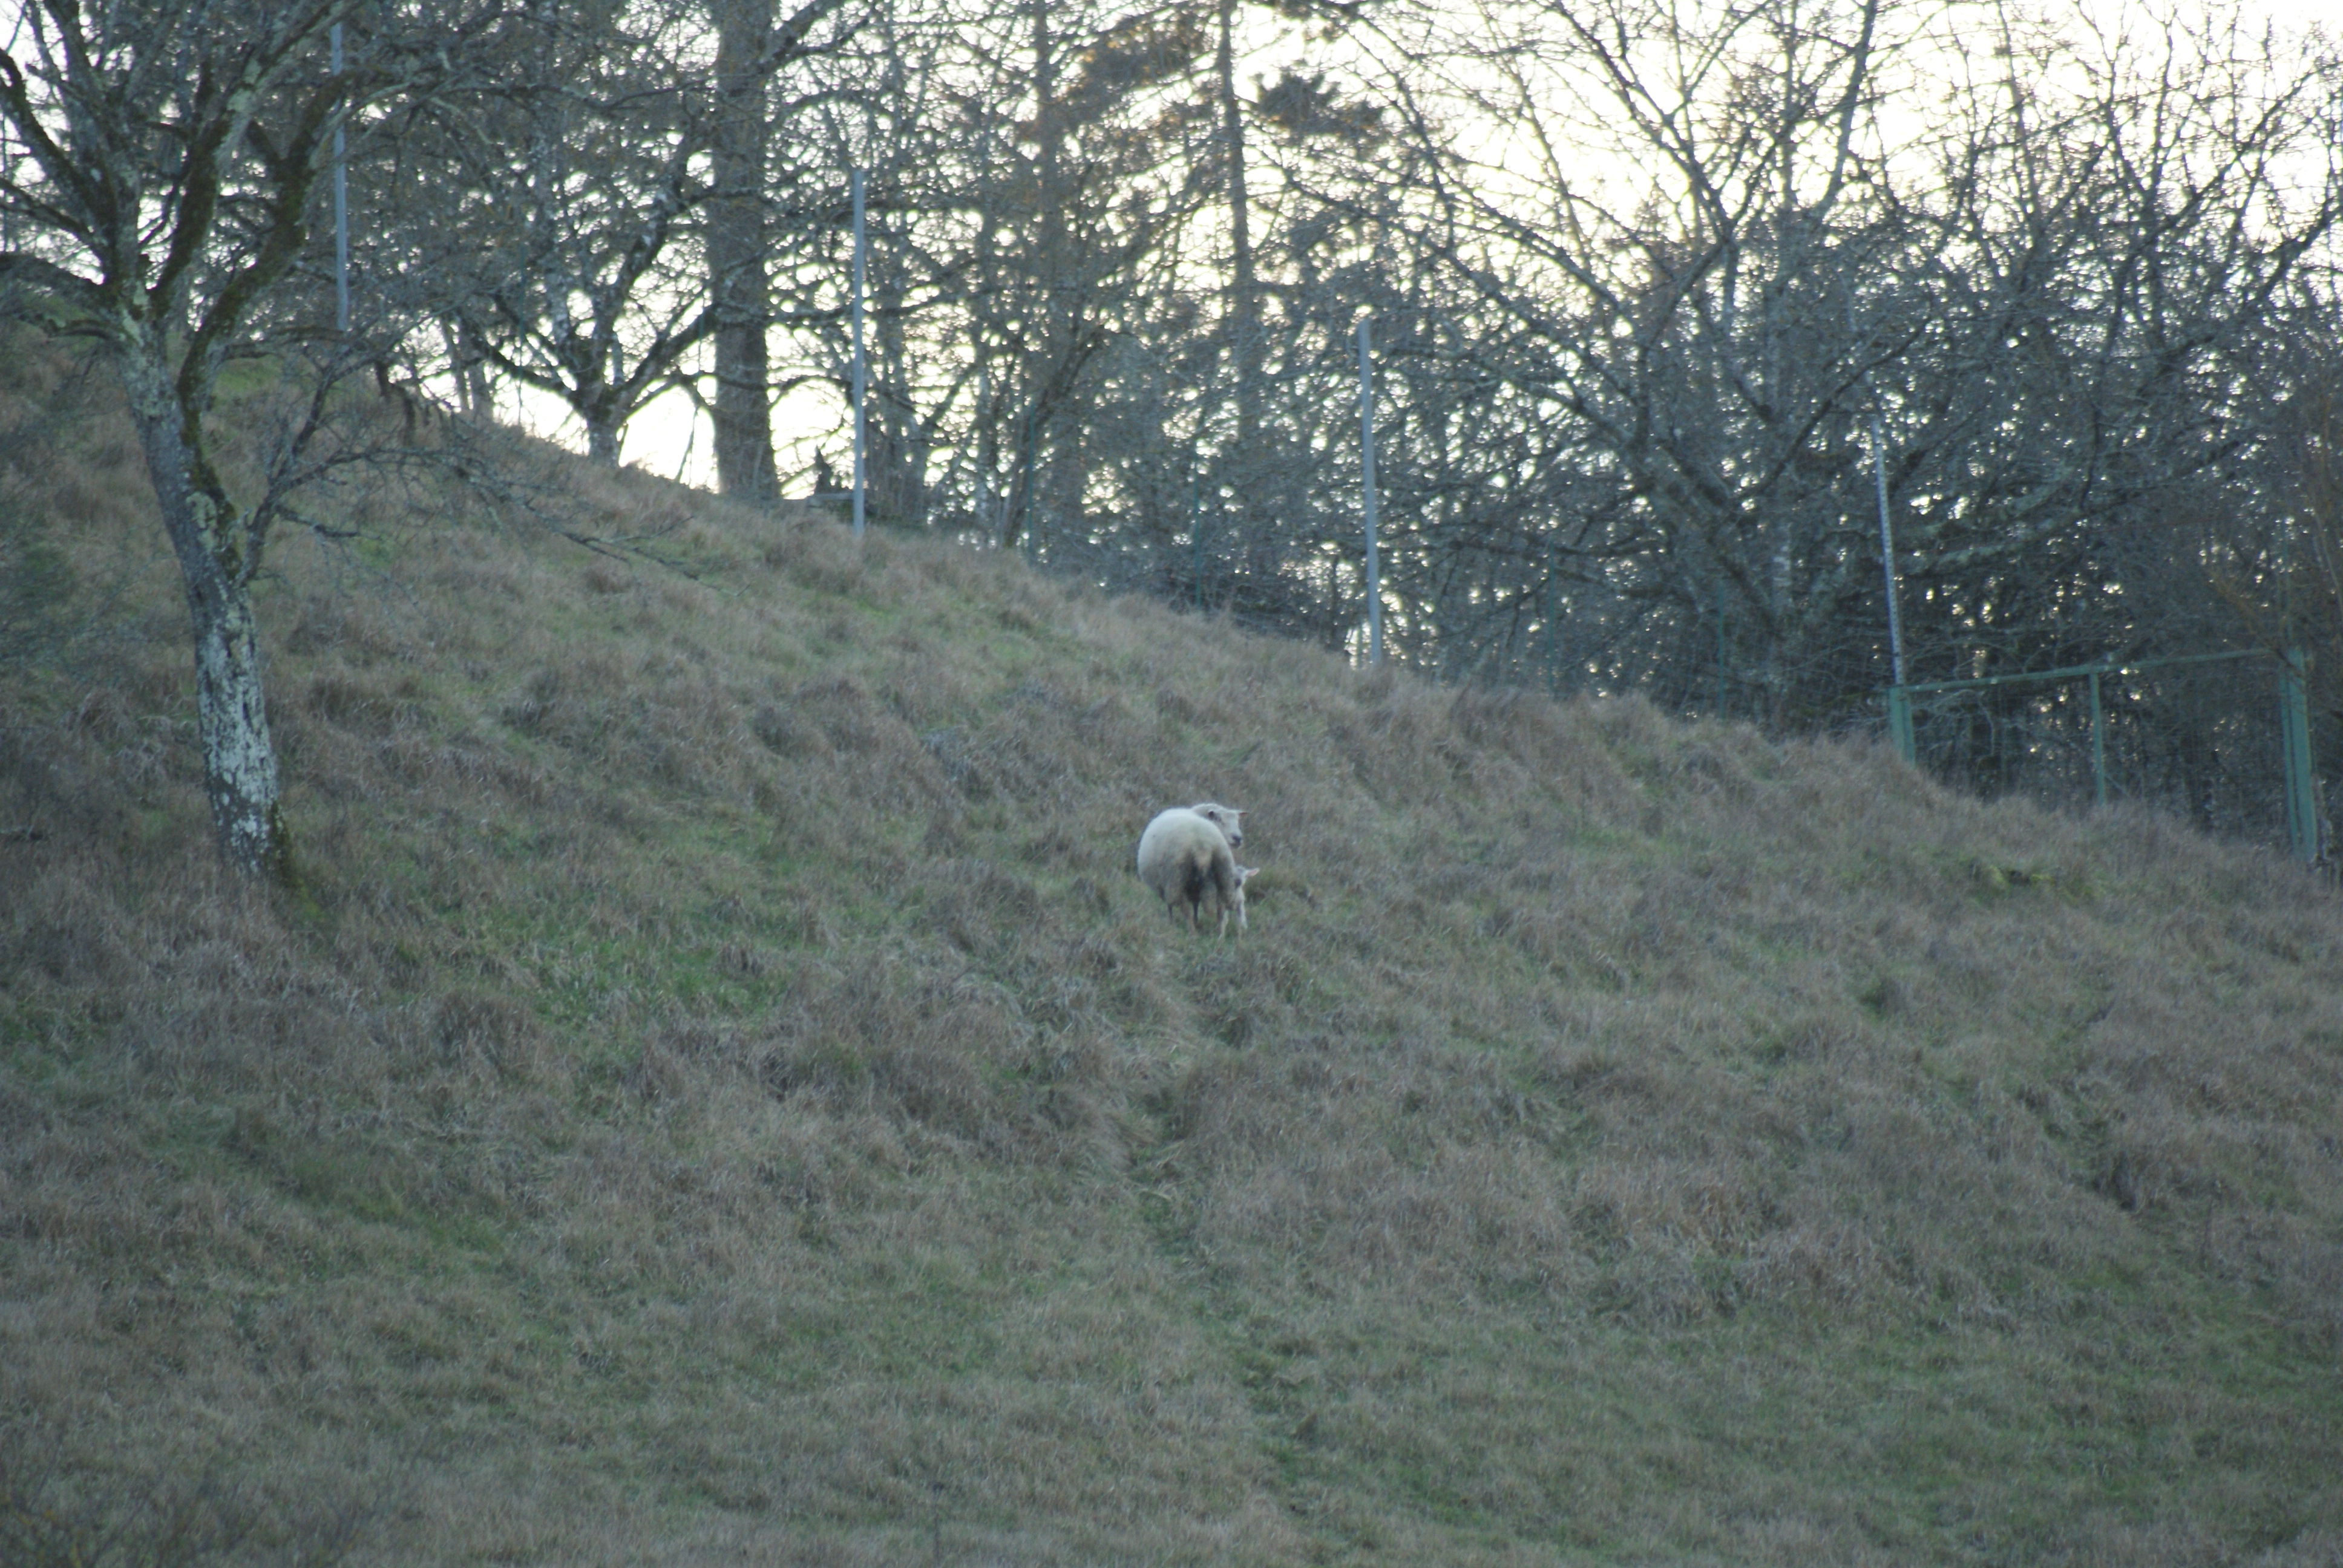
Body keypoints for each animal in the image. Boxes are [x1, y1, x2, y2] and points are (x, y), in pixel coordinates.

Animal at [1143, 806, 1256, 928]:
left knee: (1184, 908)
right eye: (1219, 819)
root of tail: (1201, 845)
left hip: (1176, 878)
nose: (1238, 838)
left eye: (1238, 822)